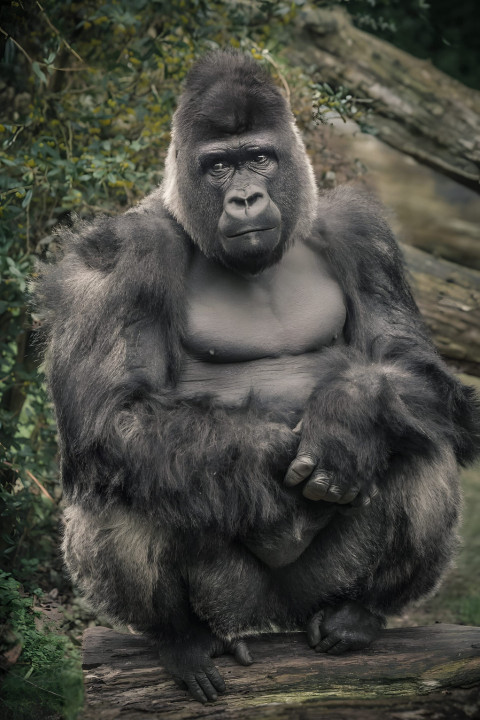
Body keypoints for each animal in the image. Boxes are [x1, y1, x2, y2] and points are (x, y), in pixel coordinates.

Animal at [35, 50, 480, 704]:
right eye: (219, 166)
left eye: (260, 158)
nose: (244, 198)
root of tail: (272, 617)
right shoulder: (119, 253)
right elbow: (114, 413)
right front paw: (275, 448)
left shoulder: (359, 232)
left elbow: (411, 366)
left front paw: (348, 417)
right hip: (229, 598)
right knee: (125, 472)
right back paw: (181, 639)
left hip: (319, 587)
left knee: (418, 438)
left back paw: (360, 614)